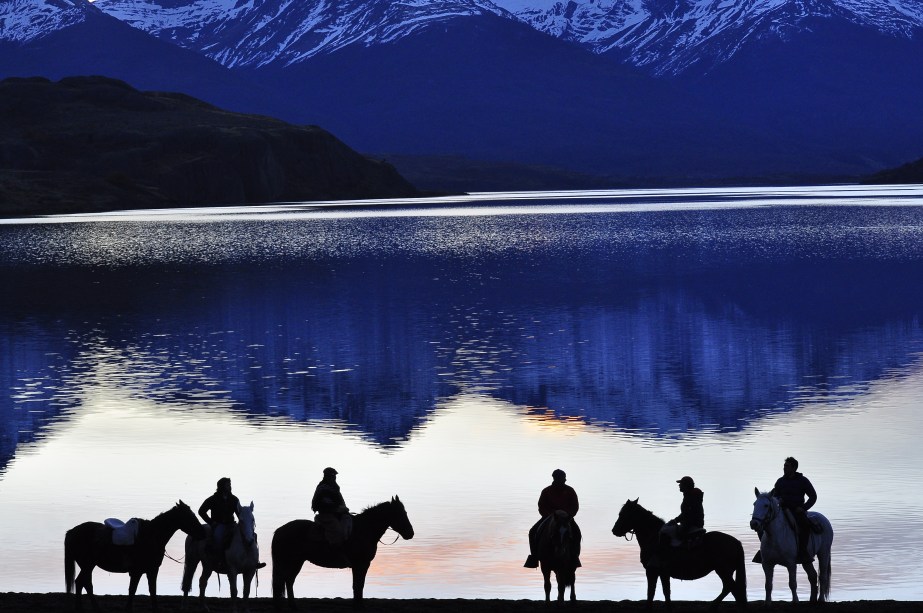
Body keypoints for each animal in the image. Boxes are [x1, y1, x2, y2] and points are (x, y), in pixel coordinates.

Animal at [66, 500, 207, 608]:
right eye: (189, 516)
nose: (203, 533)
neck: (151, 536)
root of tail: (73, 531)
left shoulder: (152, 570)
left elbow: (152, 592)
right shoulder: (138, 572)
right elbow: (133, 591)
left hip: (88, 566)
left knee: (83, 584)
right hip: (87, 565)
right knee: (83, 583)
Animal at [270, 498, 416, 608]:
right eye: (400, 513)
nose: (410, 533)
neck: (364, 530)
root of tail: (279, 530)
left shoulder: (362, 565)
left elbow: (358, 585)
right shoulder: (361, 564)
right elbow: (358, 585)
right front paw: (358, 605)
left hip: (297, 561)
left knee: (288, 581)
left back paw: (292, 605)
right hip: (292, 561)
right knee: (287, 581)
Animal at [608, 498, 748, 608]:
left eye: (623, 514)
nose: (614, 530)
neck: (654, 537)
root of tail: (736, 542)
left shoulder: (651, 571)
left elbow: (650, 594)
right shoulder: (663, 573)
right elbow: (666, 593)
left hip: (723, 570)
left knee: (732, 589)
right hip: (725, 571)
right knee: (730, 589)